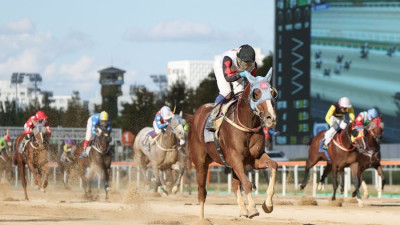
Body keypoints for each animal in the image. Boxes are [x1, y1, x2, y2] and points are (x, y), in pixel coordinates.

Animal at [186, 71, 276, 218]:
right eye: (255, 93)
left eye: (273, 92)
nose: (271, 118)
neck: (246, 124)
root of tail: (194, 116)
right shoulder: (235, 157)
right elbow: (247, 183)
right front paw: (253, 209)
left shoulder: (253, 158)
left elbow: (274, 165)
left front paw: (267, 205)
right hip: (200, 162)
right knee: (202, 191)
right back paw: (202, 218)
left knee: (234, 184)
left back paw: (243, 210)